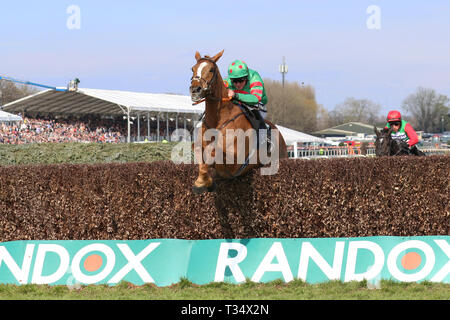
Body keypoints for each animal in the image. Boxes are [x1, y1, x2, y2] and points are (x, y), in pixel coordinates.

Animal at [190, 51, 288, 194]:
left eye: (211, 69)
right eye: (192, 69)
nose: (195, 90)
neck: (217, 121)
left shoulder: (236, 160)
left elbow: (213, 152)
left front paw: (201, 182)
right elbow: (199, 152)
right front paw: (203, 181)